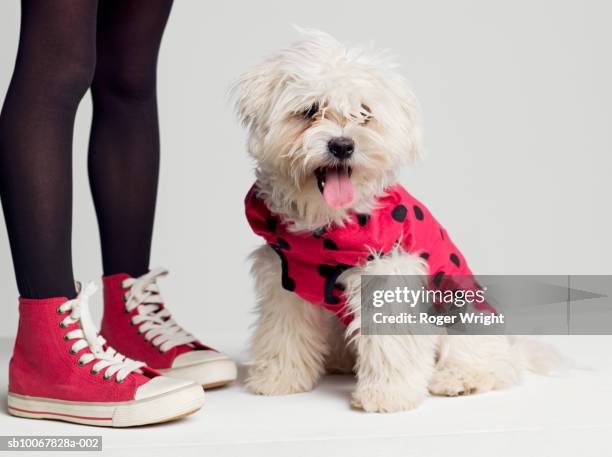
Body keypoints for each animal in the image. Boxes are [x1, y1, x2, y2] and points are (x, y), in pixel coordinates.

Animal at [233, 30, 556, 412]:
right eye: (311, 110)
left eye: (364, 114)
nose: (342, 145)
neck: (326, 224)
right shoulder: (284, 277)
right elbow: (284, 332)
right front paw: (279, 378)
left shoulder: (388, 273)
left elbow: (392, 341)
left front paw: (387, 394)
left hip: (461, 309)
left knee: (491, 362)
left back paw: (460, 379)